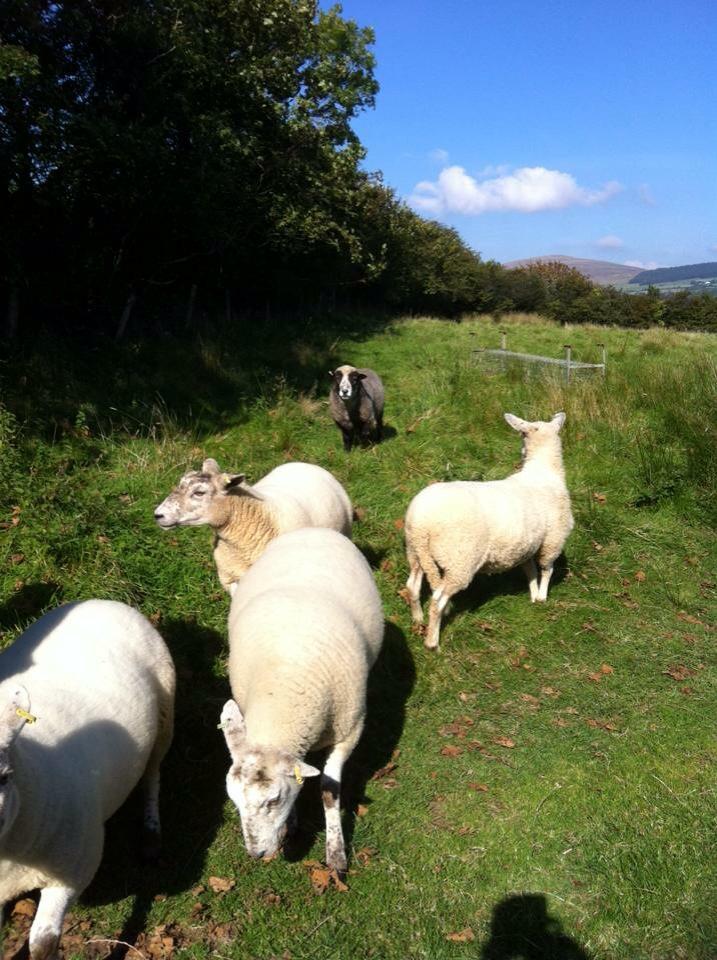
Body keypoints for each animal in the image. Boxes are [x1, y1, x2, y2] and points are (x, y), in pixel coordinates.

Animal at [0, 599, 175, 960]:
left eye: (6, 776)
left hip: (166, 708)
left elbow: (42, 945)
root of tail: (105, 602)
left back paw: (150, 834)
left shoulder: (74, 870)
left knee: (153, 773)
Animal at [219, 526, 384, 876]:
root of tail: (312, 529)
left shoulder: (350, 732)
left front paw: (336, 854)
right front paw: (293, 823)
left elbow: (329, 789)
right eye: (234, 801)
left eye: (273, 800)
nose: (256, 854)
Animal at [404, 412, 573, 650]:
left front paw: (532, 595)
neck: (543, 471)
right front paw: (541, 596)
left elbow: (530, 570)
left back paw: (418, 619)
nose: (521, 453)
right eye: (522, 435)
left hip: (417, 552)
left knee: (412, 586)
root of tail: (421, 522)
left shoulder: (526, 545)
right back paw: (432, 642)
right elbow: (546, 569)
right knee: (437, 600)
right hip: (460, 559)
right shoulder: (553, 539)